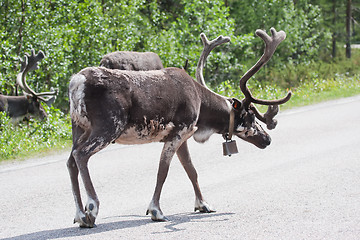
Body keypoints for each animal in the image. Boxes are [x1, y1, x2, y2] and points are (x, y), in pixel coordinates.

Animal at [68, 28, 292, 227]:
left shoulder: (184, 135)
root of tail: (76, 82)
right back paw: (91, 209)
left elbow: (191, 170)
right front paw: (156, 211)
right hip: (108, 126)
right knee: (81, 155)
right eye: (251, 116)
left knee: (71, 161)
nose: (267, 139)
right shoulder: (178, 131)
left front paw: (203, 204)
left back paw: (79, 215)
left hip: (79, 126)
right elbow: (163, 171)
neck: (202, 110)